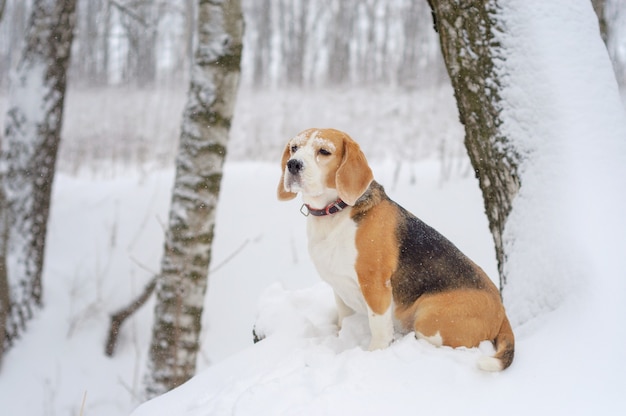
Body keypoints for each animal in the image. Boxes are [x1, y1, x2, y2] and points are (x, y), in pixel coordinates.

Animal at [278, 127, 512, 370]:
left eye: (324, 151)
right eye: (294, 148)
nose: (293, 165)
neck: (335, 212)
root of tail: (502, 311)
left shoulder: (375, 285)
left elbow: (379, 328)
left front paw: (374, 355)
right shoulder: (339, 286)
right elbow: (344, 318)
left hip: (428, 319)